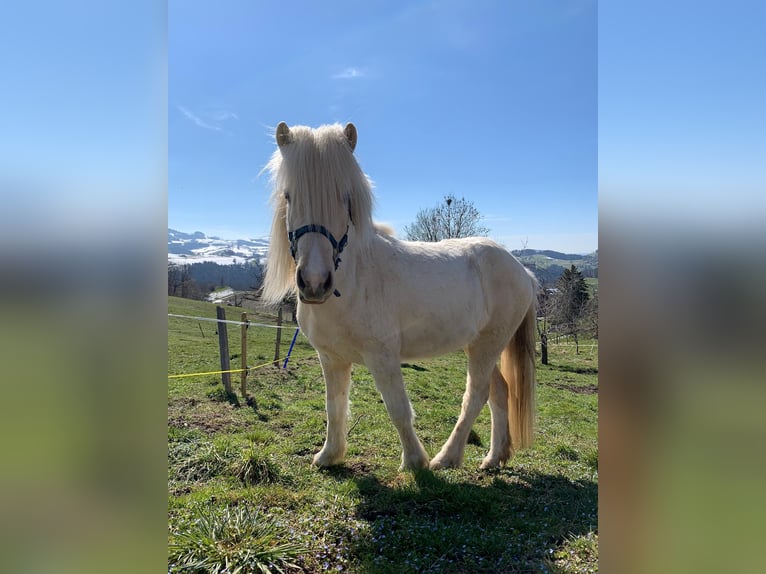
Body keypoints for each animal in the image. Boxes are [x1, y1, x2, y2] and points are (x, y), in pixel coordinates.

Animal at [260, 122, 536, 472]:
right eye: (289, 196)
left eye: (345, 198)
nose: (314, 282)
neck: (354, 281)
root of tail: (521, 269)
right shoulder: (331, 357)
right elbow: (334, 406)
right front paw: (329, 455)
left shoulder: (383, 356)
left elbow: (398, 408)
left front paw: (415, 461)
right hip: (478, 344)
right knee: (499, 392)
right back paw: (493, 457)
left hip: (487, 345)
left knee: (476, 395)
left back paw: (446, 458)